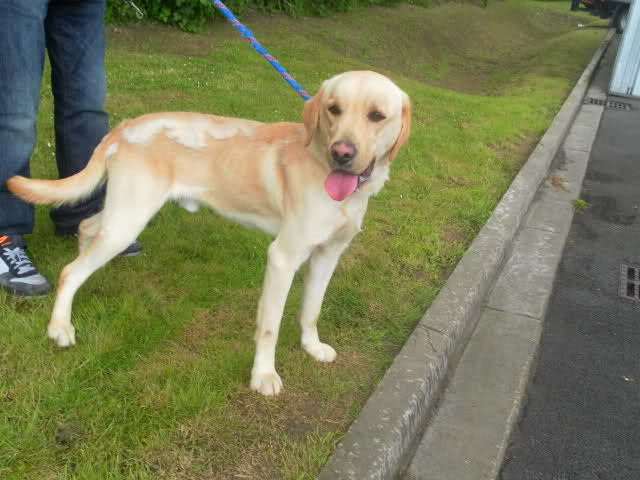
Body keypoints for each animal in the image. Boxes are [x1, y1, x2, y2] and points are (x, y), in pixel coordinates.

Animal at [8, 69, 410, 396]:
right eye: (333, 109)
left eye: (376, 115)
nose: (342, 152)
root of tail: (126, 126)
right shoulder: (283, 257)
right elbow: (270, 326)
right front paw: (263, 376)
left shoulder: (328, 255)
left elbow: (312, 309)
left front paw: (312, 347)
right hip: (129, 218)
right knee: (69, 271)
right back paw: (60, 326)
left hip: (123, 214)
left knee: (85, 227)